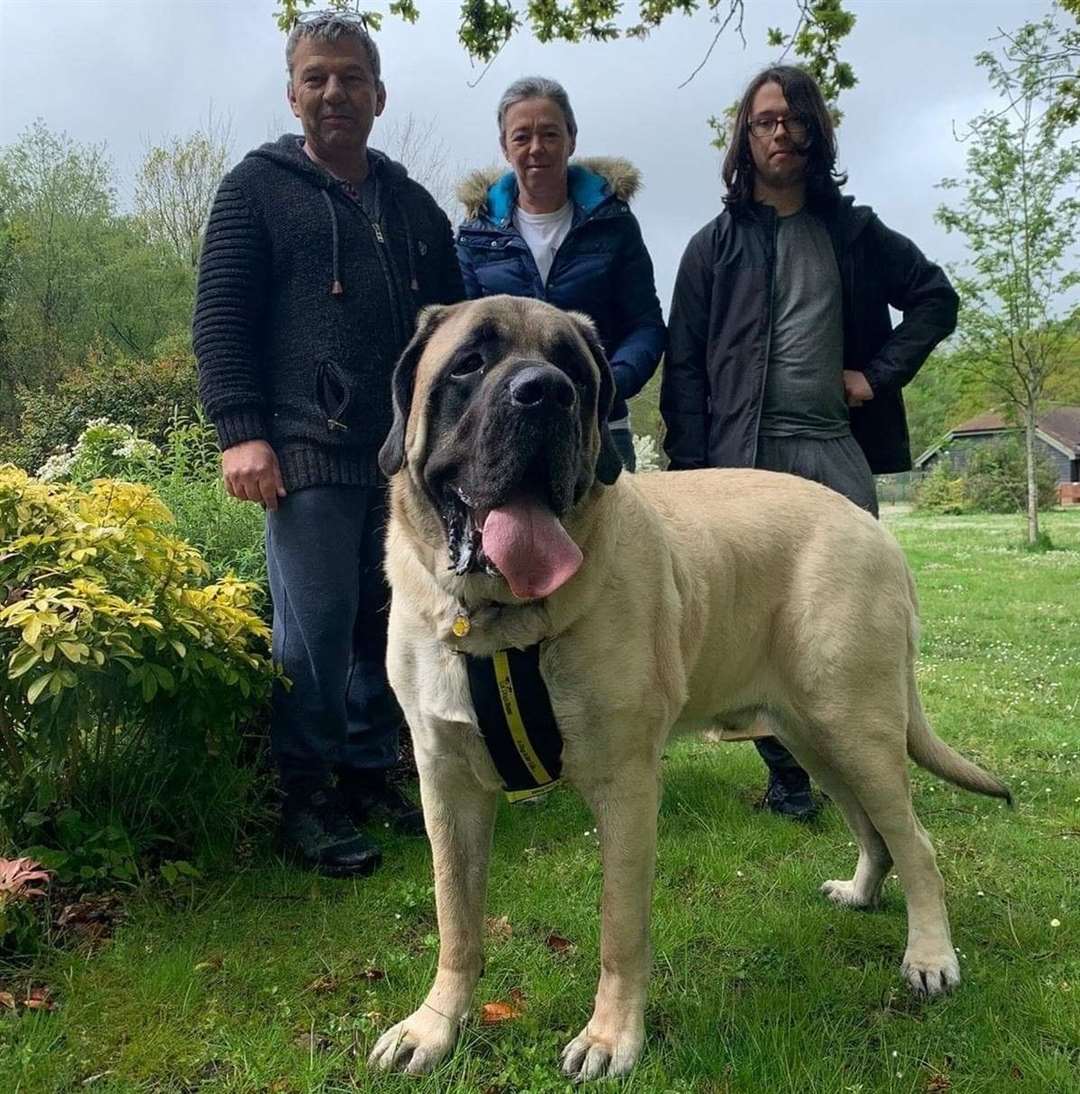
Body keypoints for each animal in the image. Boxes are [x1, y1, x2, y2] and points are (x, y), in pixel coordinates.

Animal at [367, 295, 1011, 1080]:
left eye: (575, 371)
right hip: (817, 736)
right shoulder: (447, 784)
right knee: (874, 829)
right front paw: (434, 1026)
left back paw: (930, 956)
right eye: (469, 363)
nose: (546, 392)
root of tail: (874, 528)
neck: (501, 622)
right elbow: (456, 920)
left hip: (859, 728)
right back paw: (861, 892)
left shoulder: (625, 787)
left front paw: (610, 1037)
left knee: (914, 840)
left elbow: (619, 930)